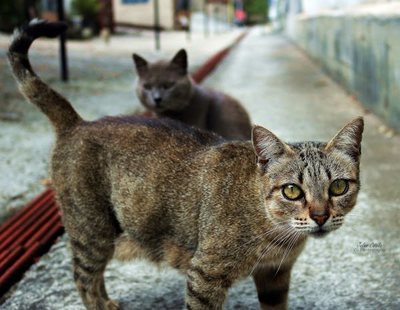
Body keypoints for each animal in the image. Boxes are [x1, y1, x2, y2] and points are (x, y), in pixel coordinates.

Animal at [10, 21, 366, 310]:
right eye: (292, 191)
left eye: (338, 187)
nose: (320, 216)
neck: (275, 234)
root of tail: (78, 123)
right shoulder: (205, 275)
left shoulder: (275, 276)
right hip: (92, 230)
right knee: (84, 279)